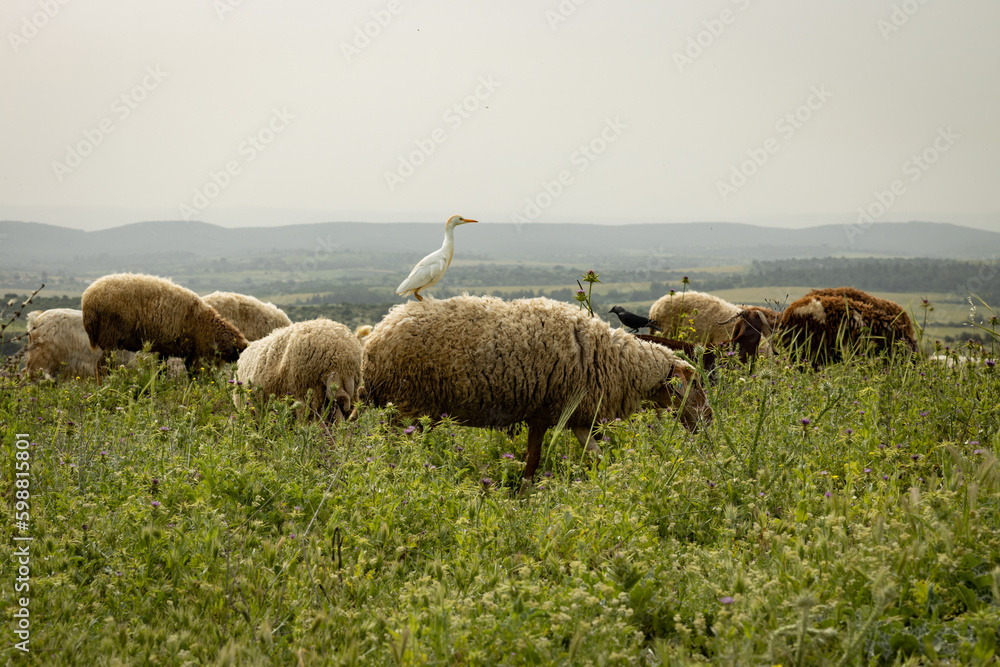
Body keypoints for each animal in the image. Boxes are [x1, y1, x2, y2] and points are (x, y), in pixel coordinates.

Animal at [81, 273, 248, 371]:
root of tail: (87, 298)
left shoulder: (166, 350)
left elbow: (163, 372)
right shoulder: (194, 354)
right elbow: (195, 377)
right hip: (110, 336)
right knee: (101, 366)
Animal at [361, 295, 712, 483]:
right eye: (695, 385)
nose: (709, 419)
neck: (620, 364)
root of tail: (376, 337)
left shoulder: (574, 415)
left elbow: (596, 458)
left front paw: (607, 483)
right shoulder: (546, 412)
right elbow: (533, 460)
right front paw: (525, 492)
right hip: (405, 406)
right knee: (390, 448)